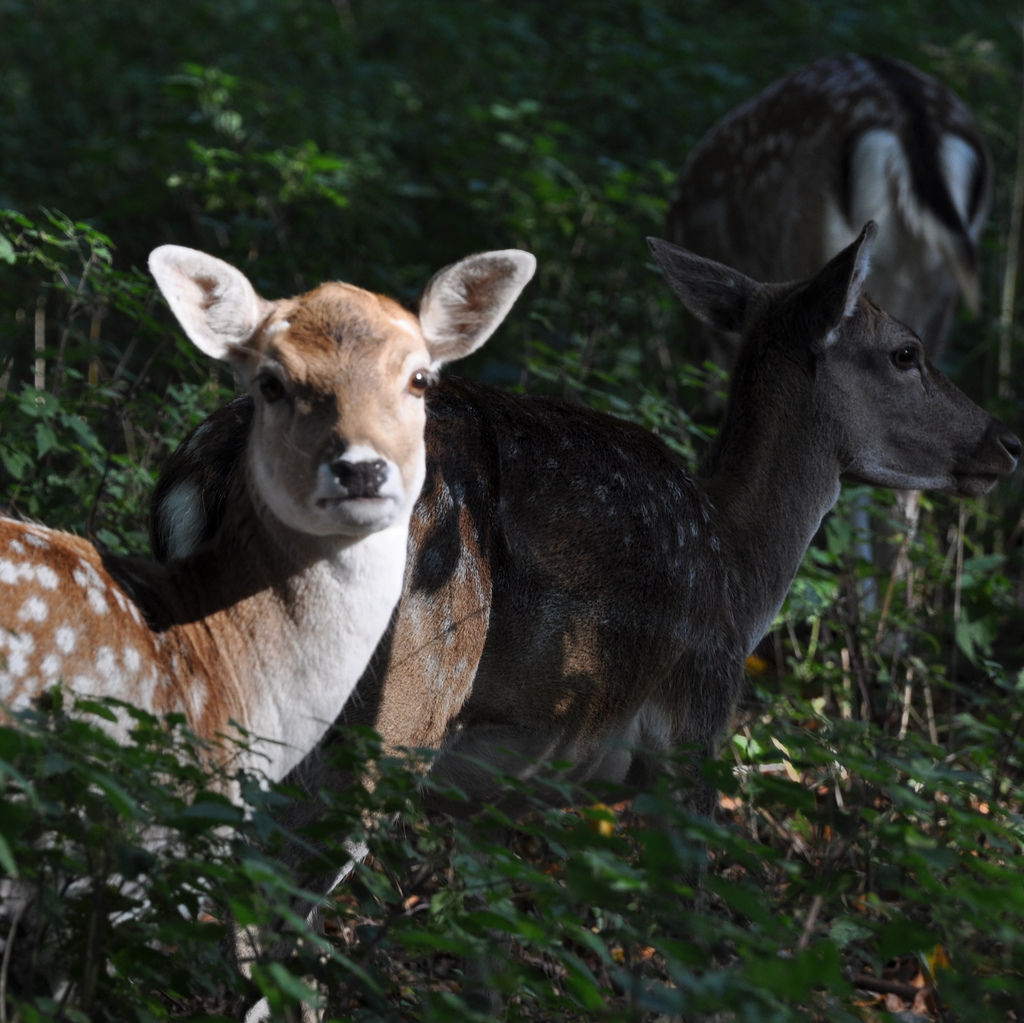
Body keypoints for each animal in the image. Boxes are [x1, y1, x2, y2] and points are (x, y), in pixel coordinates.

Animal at [148, 223, 1019, 1016]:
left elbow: (485, 946)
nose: (1004, 442)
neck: (739, 571)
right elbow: (687, 934)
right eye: (905, 351)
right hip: (396, 713)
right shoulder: (696, 727)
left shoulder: (499, 791)